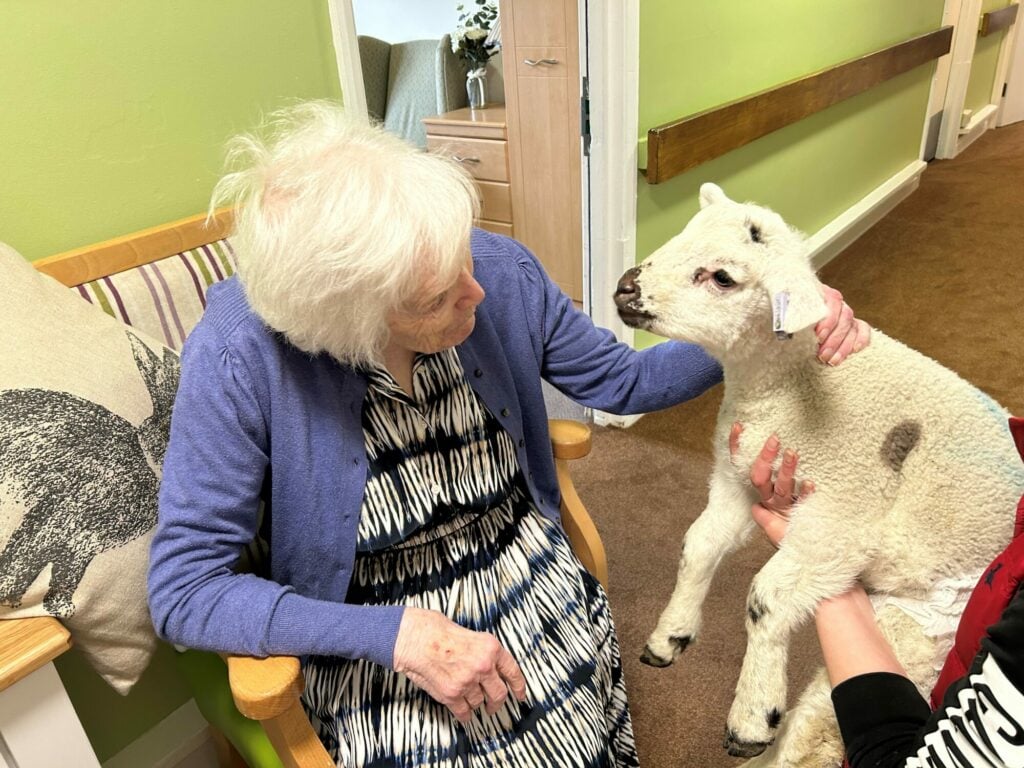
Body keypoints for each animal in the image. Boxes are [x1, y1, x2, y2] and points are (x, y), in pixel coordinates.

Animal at [613, 183, 1024, 767]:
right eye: (681, 236)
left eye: (722, 277)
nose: (626, 289)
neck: (784, 387)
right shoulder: (741, 478)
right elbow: (699, 544)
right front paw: (671, 635)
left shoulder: (841, 514)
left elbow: (766, 596)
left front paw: (750, 716)